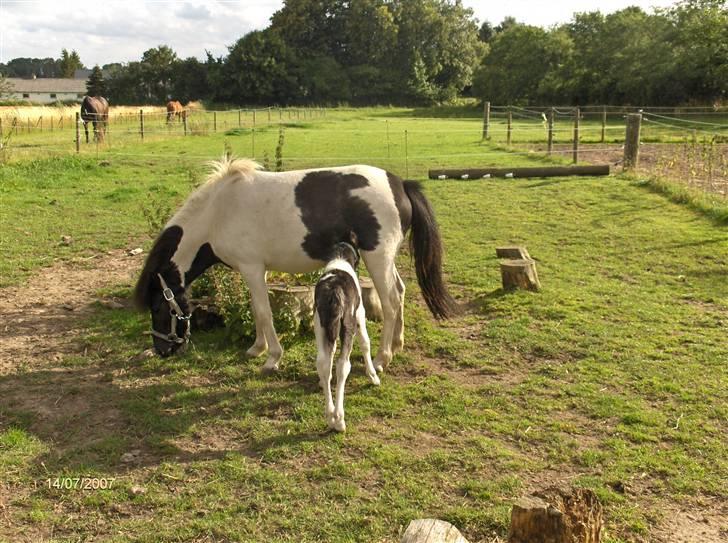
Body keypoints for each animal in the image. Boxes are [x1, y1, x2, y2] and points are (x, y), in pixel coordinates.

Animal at [135, 157, 456, 374]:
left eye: (158, 308)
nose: (162, 350)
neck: (219, 212)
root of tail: (400, 185)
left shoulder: (252, 268)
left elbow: (264, 312)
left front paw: (272, 358)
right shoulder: (256, 271)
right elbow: (257, 310)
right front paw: (257, 348)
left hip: (377, 258)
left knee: (390, 303)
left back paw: (381, 358)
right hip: (385, 260)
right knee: (400, 293)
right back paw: (397, 345)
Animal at [314, 238, 382, 434]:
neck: (339, 257)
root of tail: (334, 292)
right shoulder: (360, 314)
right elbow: (366, 342)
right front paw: (373, 376)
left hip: (319, 325)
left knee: (323, 363)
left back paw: (330, 416)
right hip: (349, 324)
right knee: (343, 365)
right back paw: (339, 419)